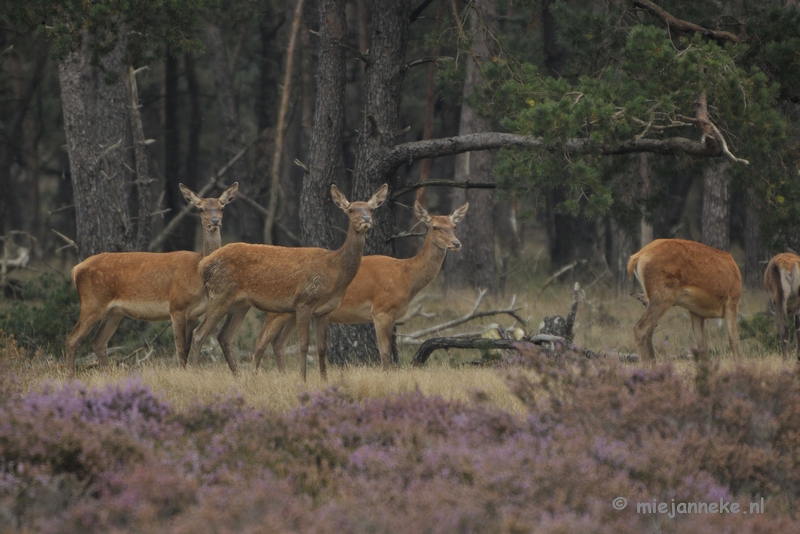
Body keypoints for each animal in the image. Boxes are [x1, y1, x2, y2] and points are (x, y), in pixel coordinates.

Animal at [64, 182, 239, 374]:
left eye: (222, 207)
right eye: (201, 208)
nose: (215, 221)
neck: (198, 270)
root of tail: (76, 269)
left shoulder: (194, 314)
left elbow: (186, 347)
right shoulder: (176, 306)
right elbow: (179, 349)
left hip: (115, 311)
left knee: (98, 342)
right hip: (92, 302)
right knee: (72, 338)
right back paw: (70, 375)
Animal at [188, 183, 388, 382]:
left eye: (371, 209)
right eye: (351, 209)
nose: (366, 219)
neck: (334, 271)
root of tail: (202, 263)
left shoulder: (324, 311)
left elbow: (322, 347)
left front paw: (325, 380)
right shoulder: (304, 301)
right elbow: (304, 344)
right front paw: (303, 379)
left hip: (240, 303)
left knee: (225, 336)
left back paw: (240, 377)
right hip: (219, 293)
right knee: (199, 334)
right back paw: (195, 373)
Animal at [253, 200, 468, 372]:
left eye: (454, 226)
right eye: (435, 227)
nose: (457, 243)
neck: (406, 277)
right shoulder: (381, 310)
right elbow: (384, 353)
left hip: (293, 310)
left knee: (278, 343)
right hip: (276, 308)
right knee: (260, 342)